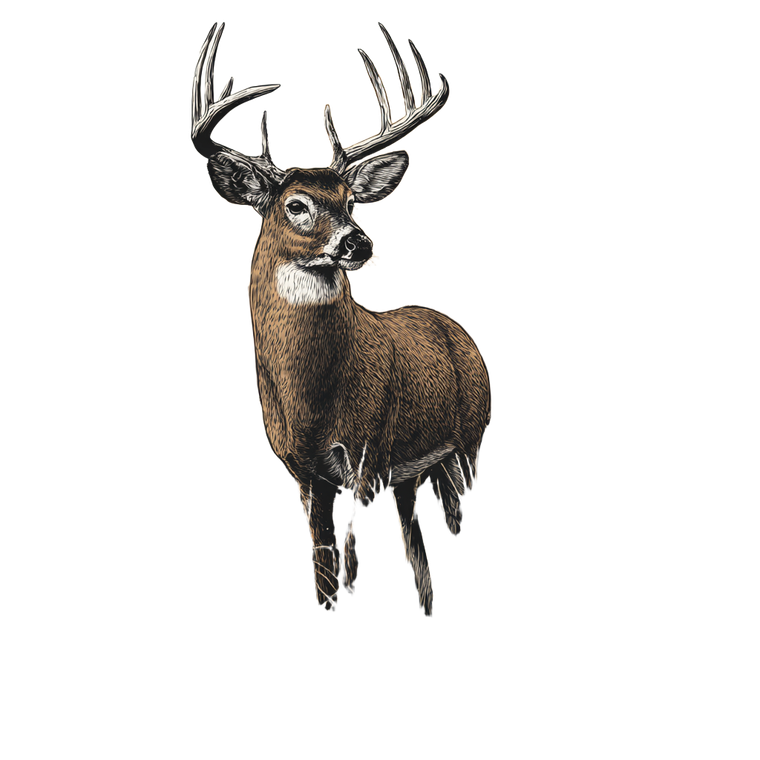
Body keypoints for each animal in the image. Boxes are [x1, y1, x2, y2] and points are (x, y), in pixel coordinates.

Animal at [190, 20, 492, 617]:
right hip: (414, 470)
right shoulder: (305, 471)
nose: (359, 242)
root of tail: (457, 330)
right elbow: (326, 573)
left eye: (352, 200)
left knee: (453, 511)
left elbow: (351, 568)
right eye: (296, 205)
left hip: (469, 436)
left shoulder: (370, 451)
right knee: (419, 539)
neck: (314, 400)